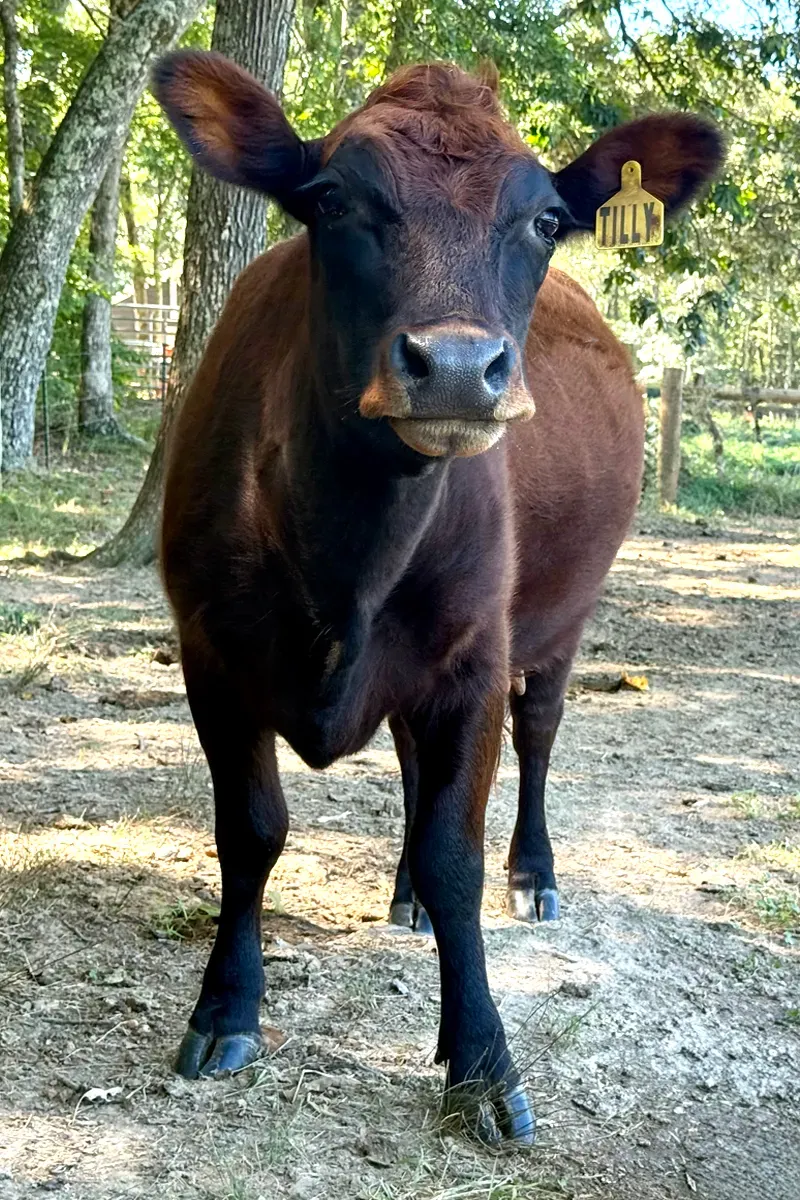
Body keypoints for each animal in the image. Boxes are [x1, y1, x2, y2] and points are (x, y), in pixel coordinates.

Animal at [153, 52, 722, 1143]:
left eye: (544, 218)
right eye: (332, 200)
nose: (458, 367)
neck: (349, 558)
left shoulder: (472, 660)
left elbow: (457, 856)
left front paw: (485, 1066)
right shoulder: (211, 650)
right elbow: (250, 833)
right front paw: (224, 1010)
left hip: (558, 620)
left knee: (537, 734)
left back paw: (532, 875)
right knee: (415, 773)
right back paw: (403, 894)